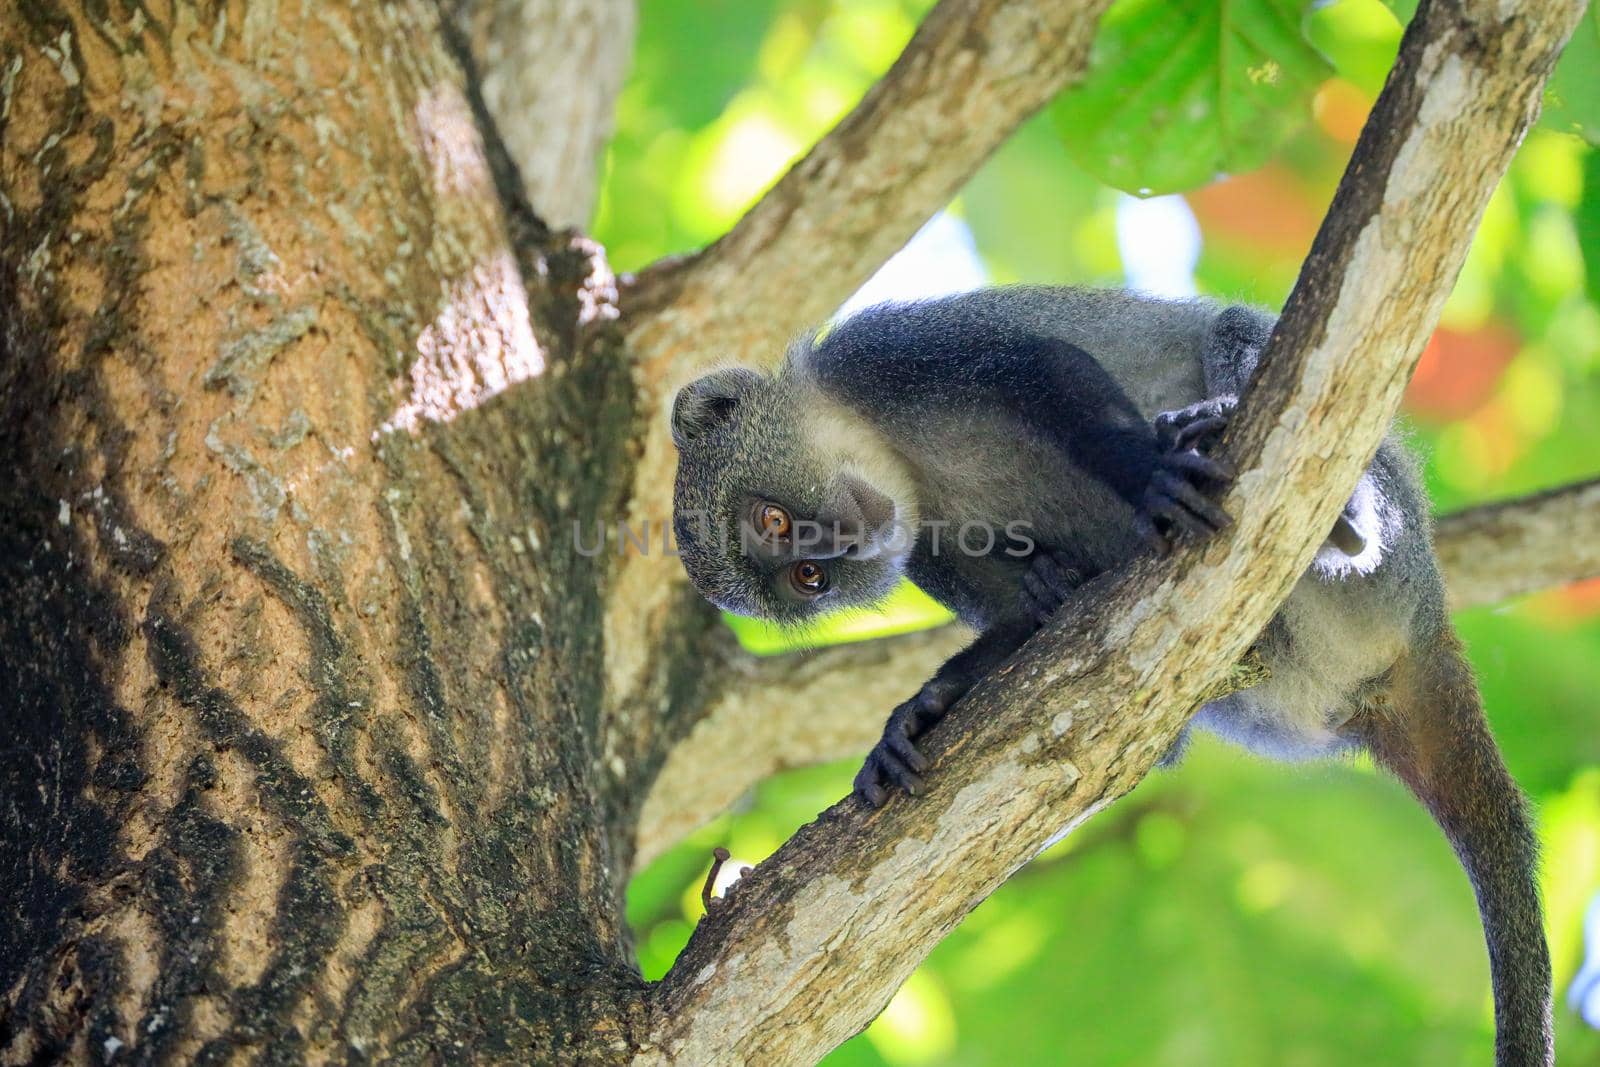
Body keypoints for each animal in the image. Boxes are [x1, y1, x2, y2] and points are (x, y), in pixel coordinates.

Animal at [672, 287, 1548, 1062]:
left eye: (776, 522)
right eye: (807, 578)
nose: (836, 546)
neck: (897, 457)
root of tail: (1419, 628)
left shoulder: (891, 353)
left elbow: (1049, 371)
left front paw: (1150, 472)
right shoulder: (924, 546)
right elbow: (1024, 624)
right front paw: (921, 711)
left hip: (1391, 548)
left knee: (1236, 330)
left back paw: (1342, 517)